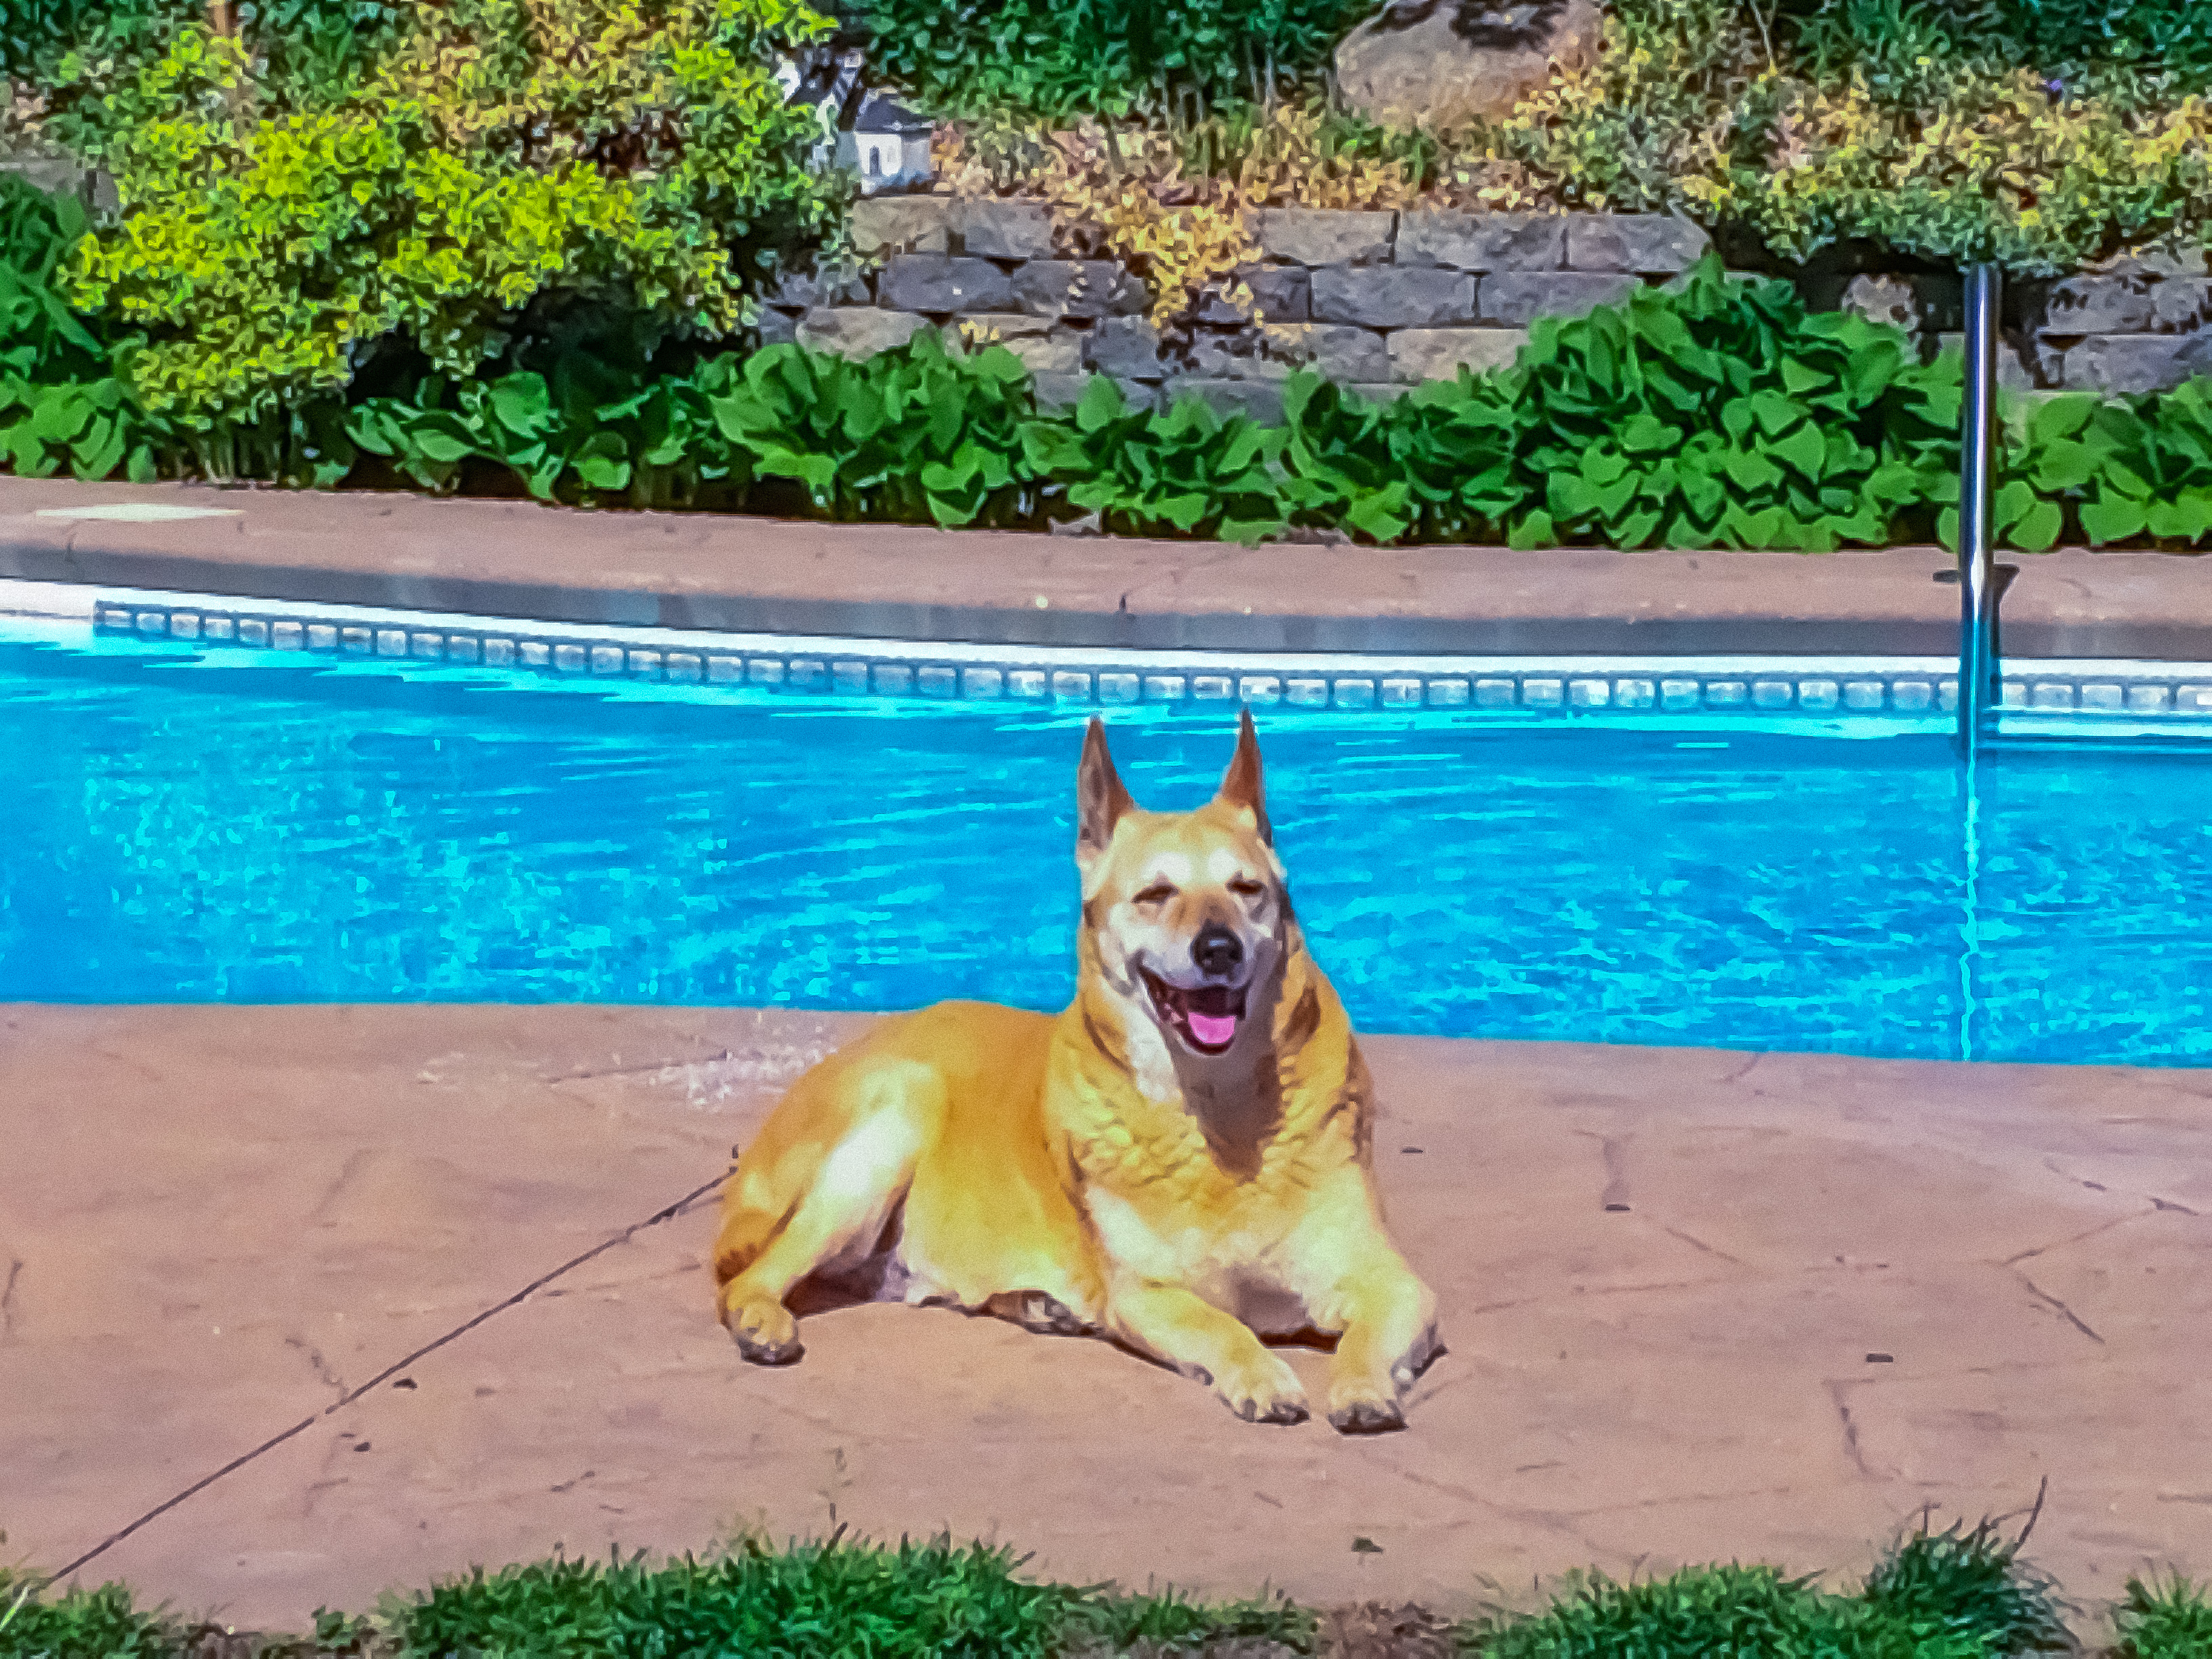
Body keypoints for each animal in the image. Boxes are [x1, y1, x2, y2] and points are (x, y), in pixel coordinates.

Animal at [708, 712, 1433, 1433]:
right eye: (1156, 894)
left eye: (1247, 890)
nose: (1218, 949)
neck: (1216, 1110)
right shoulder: (1144, 1293)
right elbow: (1220, 1326)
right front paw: (1260, 1374)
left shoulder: (1393, 1284)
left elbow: (1372, 1331)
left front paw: (1362, 1386)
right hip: (899, 1107)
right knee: (748, 1280)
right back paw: (762, 1320)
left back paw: (1035, 1303)